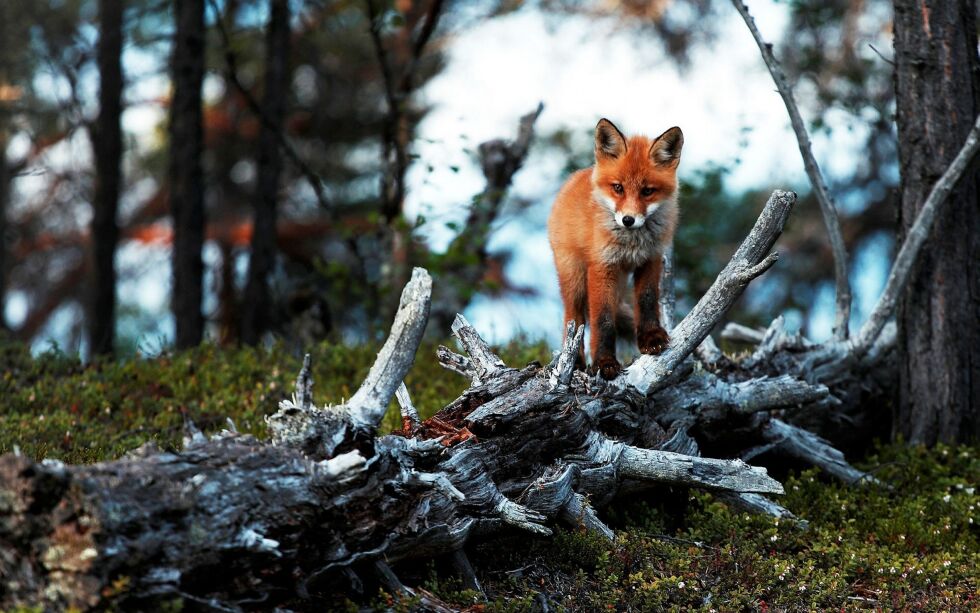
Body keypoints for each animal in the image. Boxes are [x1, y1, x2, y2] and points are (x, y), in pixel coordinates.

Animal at [552, 118, 680, 378]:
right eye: (618, 188)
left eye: (647, 191)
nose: (628, 220)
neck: (632, 243)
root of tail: (573, 179)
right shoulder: (602, 267)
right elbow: (603, 321)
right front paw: (604, 362)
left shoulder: (650, 259)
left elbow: (647, 300)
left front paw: (651, 338)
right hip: (575, 279)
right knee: (574, 319)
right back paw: (575, 362)